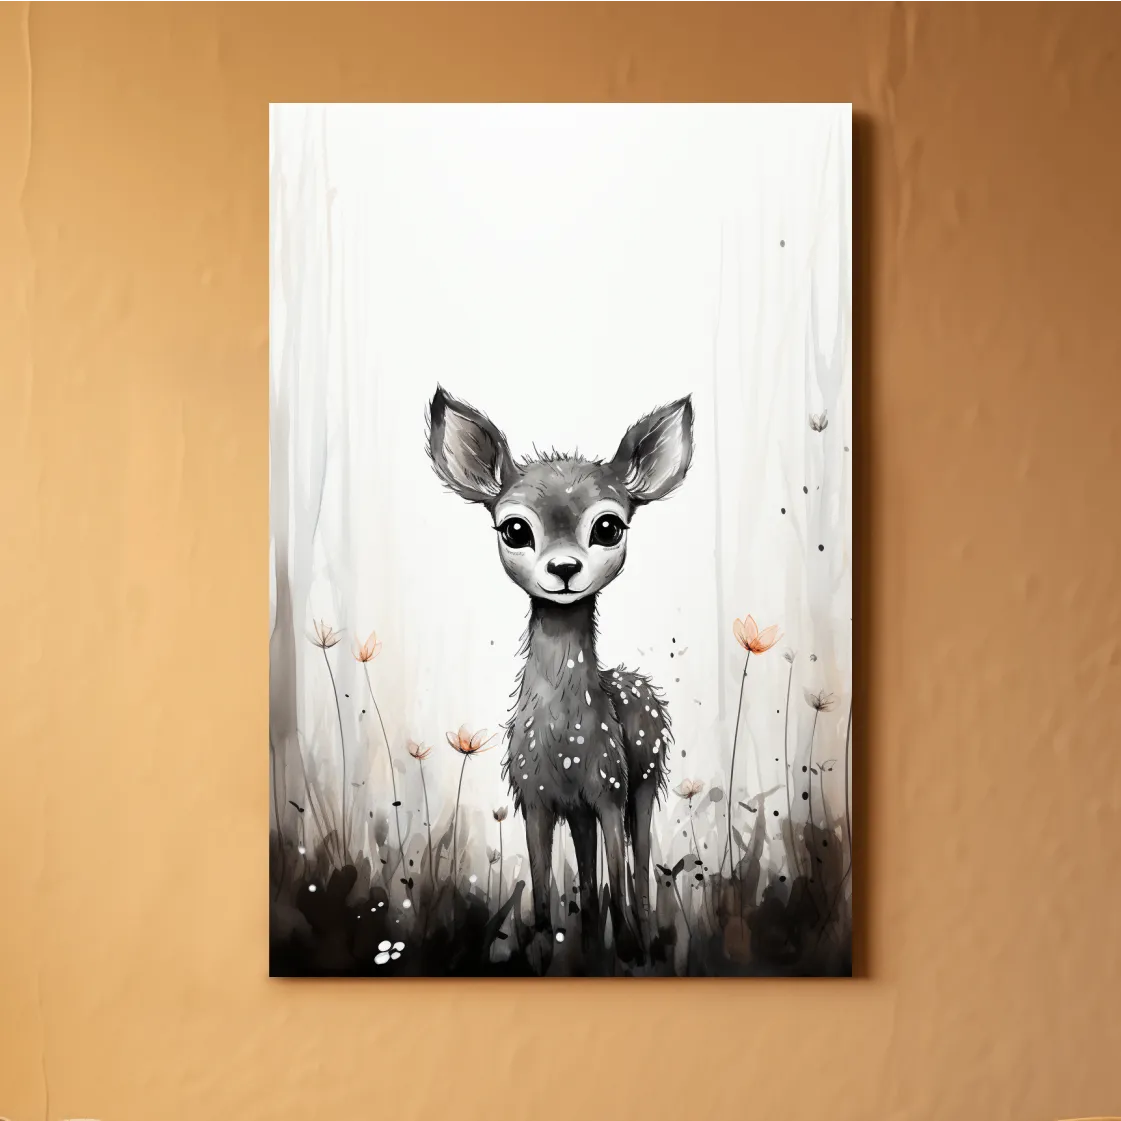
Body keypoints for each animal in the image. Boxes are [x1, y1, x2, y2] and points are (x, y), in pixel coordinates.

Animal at [426, 385, 694, 969]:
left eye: (609, 526)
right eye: (515, 528)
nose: (565, 569)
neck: (566, 740)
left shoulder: (610, 788)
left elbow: (619, 877)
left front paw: (629, 951)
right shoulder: (536, 798)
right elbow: (547, 898)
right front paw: (547, 953)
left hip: (643, 780)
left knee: (638, 872)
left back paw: (640, 943)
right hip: (582, 810)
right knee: (590, 883)